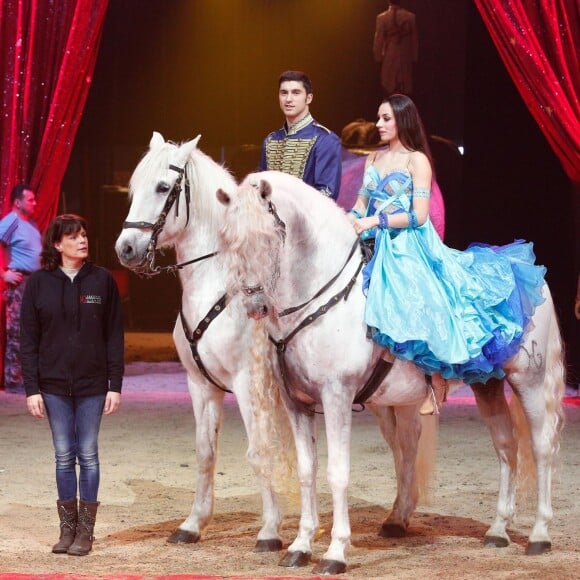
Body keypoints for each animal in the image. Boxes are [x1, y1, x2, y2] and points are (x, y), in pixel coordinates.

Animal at [114, 133, 288, 552]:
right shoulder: (201, 385)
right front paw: (193, 524)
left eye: (163, 188)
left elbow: (259, 450)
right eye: (133, 188)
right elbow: (205, 452)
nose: (125, 249)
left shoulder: (249, 385)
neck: (222, 285)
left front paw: (270, 531)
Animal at [216, 171, 568, 576]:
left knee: (541, 447)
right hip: (489, 384)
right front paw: (300, 546)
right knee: (506, 446)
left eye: (267, 236)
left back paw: (540, 534)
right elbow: (307, 470)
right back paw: (497, 530)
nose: (254, 305)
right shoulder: (297, 404)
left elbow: (337, 473)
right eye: (228, 240)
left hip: (529, 381)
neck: (320, 299)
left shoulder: (336, 396)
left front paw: (335, 552)